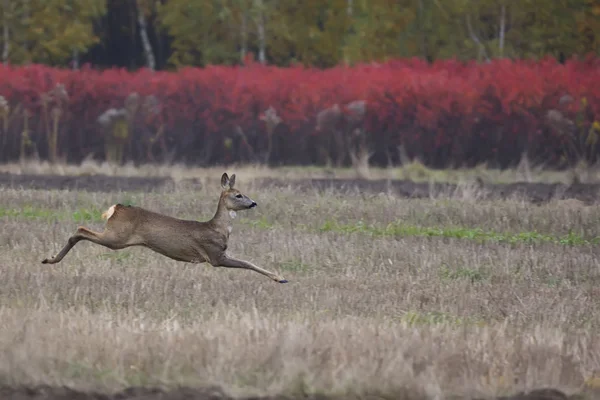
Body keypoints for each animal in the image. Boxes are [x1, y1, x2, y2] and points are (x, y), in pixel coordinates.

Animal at [40, 173, 288, 282]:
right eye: (238, 195)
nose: (253, 203)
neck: (217, 228)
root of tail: (116, 208)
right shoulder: (215, 256)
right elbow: (248, 263)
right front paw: (279, 277)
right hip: (117, 237)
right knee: (81, 229)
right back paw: (50, 259)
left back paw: (49, 259)